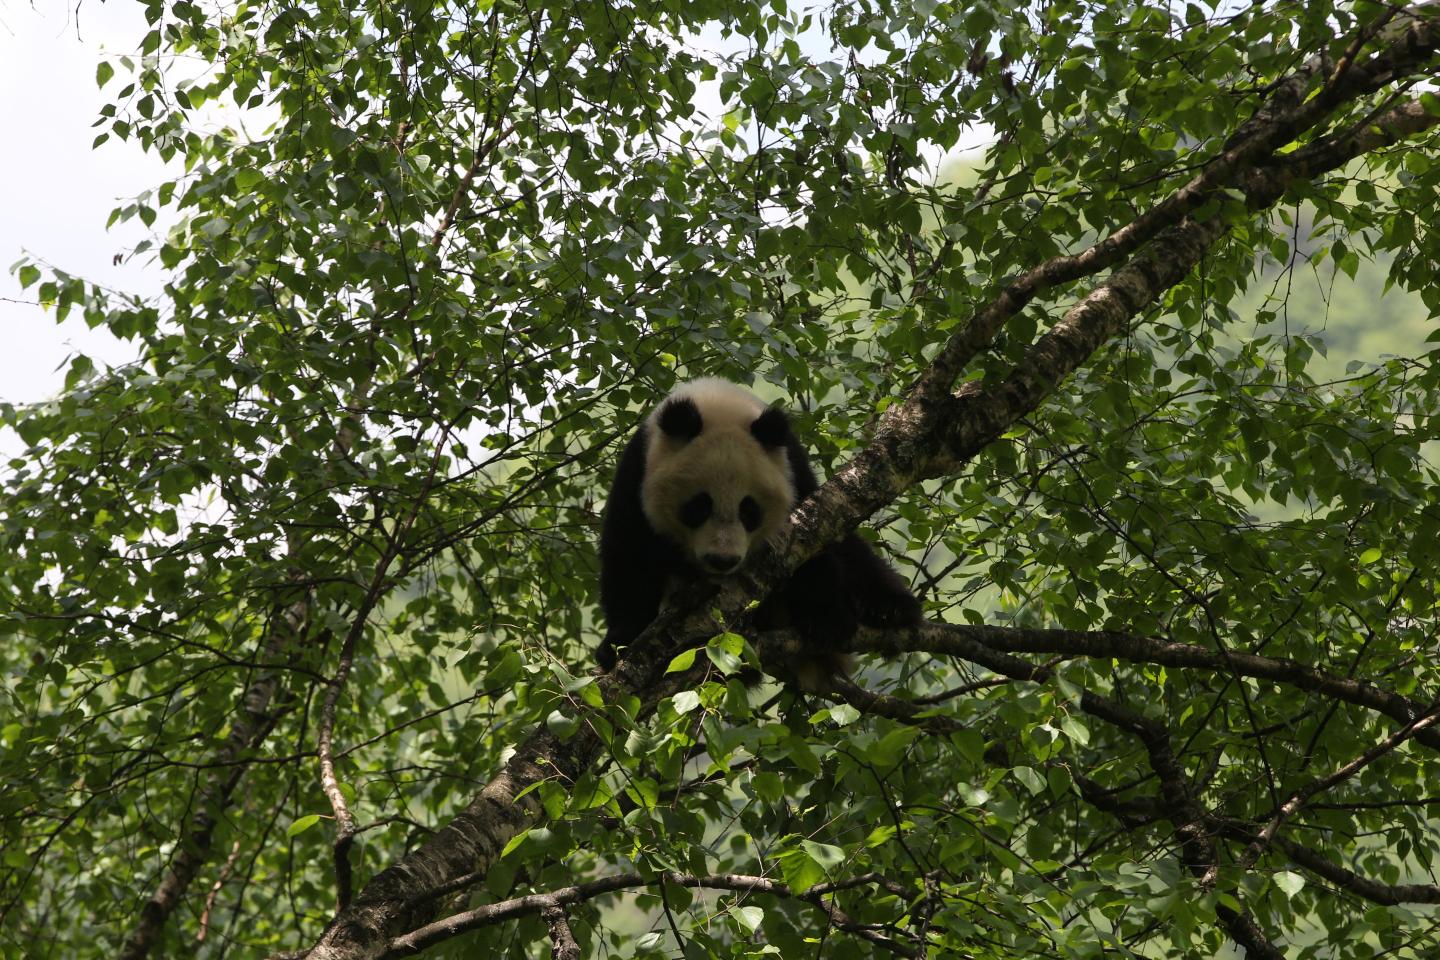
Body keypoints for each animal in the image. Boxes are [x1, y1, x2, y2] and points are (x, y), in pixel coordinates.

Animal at [596, 374, 921, 682]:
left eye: (749, 510)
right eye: (698, 507)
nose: (722, 560)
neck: (716, 401)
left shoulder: (794, 471)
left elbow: (814, 545)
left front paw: (826, 618)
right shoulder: (636, 475)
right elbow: (628, 555)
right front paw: (620, 644)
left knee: (858, 557)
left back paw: (891, 609)